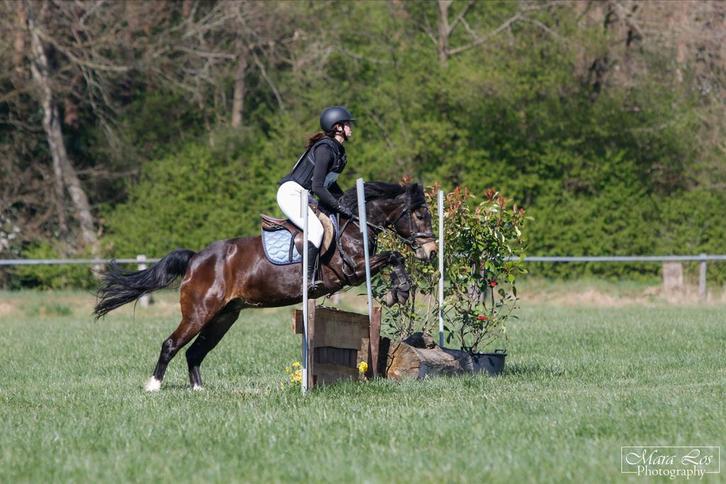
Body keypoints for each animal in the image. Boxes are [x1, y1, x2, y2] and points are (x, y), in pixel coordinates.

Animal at [94, 182, 437, 391]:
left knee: (194, 351)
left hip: (223, 317)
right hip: (199, 313)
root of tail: (195, 259)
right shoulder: (351, 271)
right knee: (171, 344)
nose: (431, 251)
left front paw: (399, 290)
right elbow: (393, 256)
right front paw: (399, 290)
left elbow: (393, 258)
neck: (354, 224)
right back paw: (153, 386)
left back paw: (199, 390)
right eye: (420, 214)